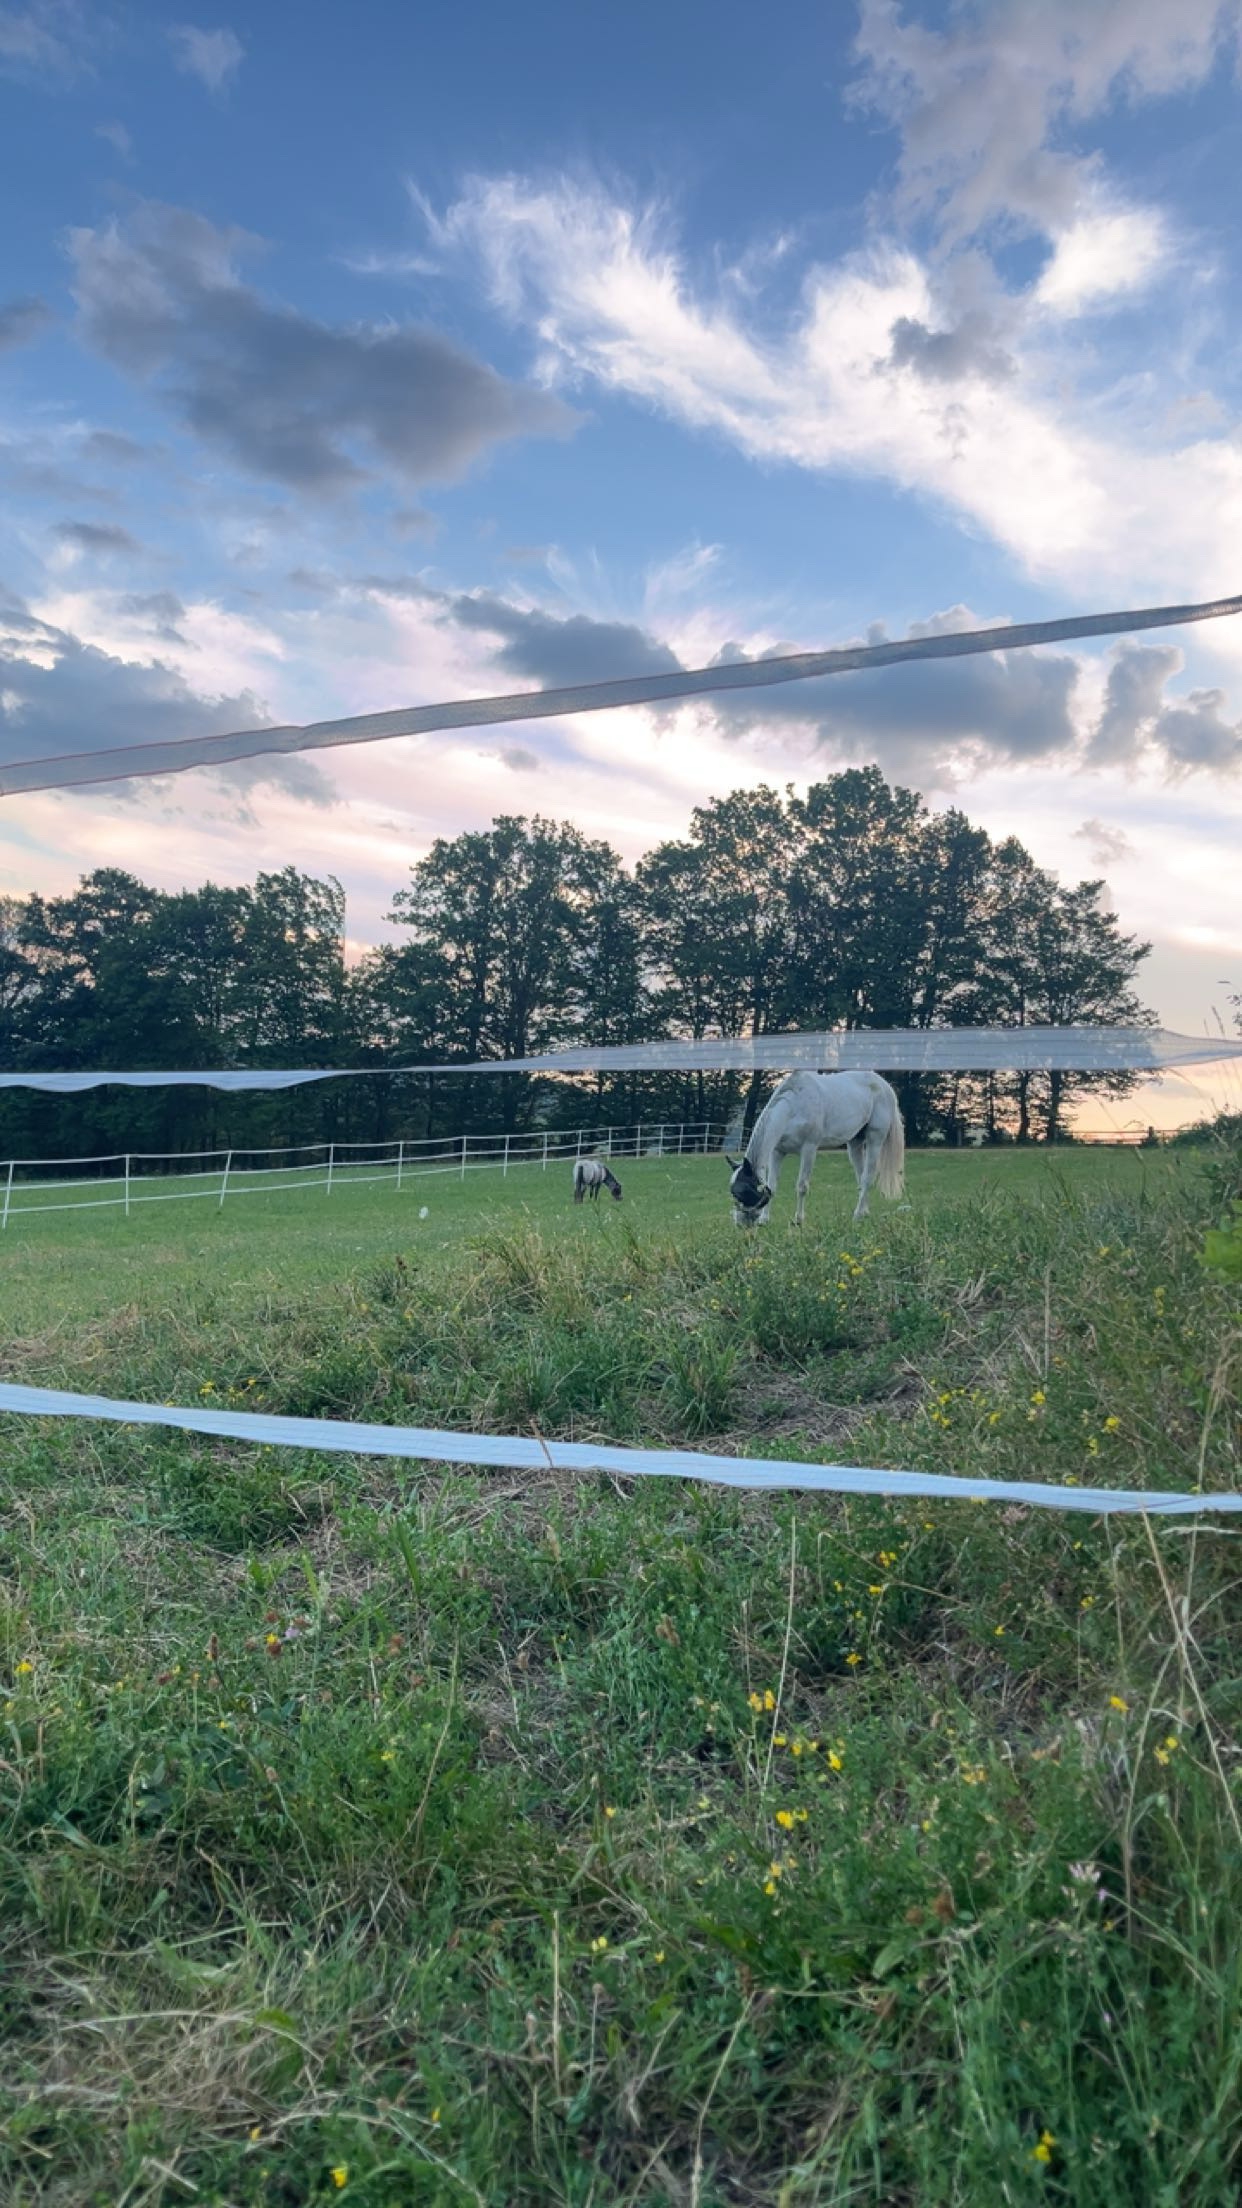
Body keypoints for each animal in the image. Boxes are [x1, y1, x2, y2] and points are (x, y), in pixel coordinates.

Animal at [727, 1070, 904, 1226]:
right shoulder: (777, 1152)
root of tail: (885, 1085)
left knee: (867, 1178)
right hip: (855, 1143)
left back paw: (857, 1215)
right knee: (861, 1178)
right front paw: (764, 1220)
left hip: (875, 1140)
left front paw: (798, 1220)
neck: (793, 1107)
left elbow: (802, 1186)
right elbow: (772, 1185)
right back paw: (864, 1213)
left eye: (743, 1191)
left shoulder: (809, 1149)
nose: (740, 1223)